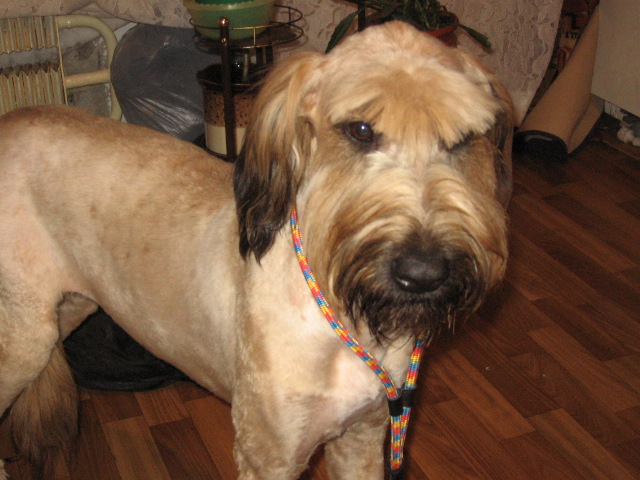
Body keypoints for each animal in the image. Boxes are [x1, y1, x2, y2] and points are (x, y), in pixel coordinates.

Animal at [0, 21, 513, 479]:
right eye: (361, 130)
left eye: (464, 139)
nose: (424, 274)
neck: (345, 324)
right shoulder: (268, 457)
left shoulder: (362, 439)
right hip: (24, 340)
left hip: (66, 308)